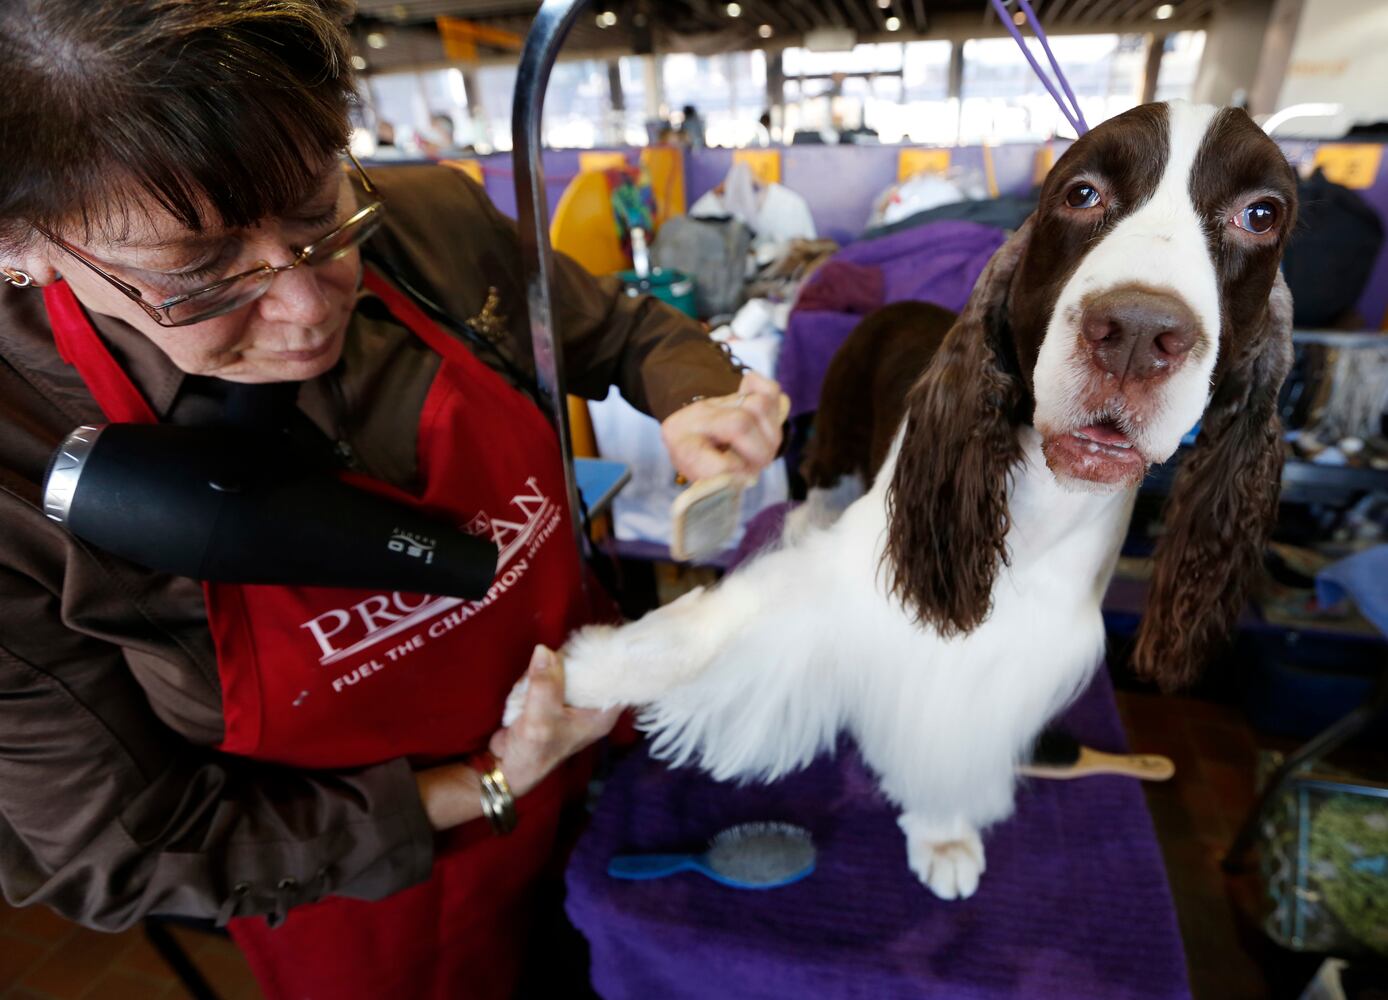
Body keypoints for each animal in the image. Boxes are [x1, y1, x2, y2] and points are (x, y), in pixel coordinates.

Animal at [510, 101, 1299, 899]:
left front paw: (944, 836)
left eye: (1262, 215)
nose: (1138, 332)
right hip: (832, 449)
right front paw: (576, 677)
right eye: (1081, 193)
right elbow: (708, 631)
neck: (1039, 508)